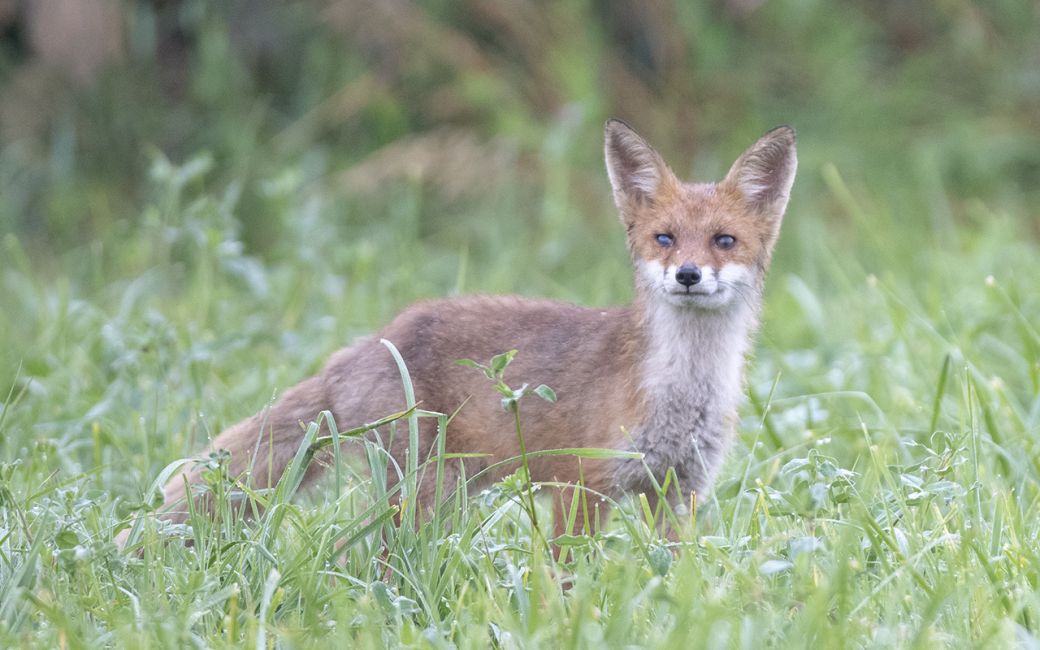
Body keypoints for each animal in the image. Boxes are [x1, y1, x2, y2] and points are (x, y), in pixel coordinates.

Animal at [125, 120, 798, 540]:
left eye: (724, 241)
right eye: (664, 238)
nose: (687, 274)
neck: (680, 393)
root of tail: (373, 339)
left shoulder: (680, 492)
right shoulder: (583, 486)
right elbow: (568, 579)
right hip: (426, 491)